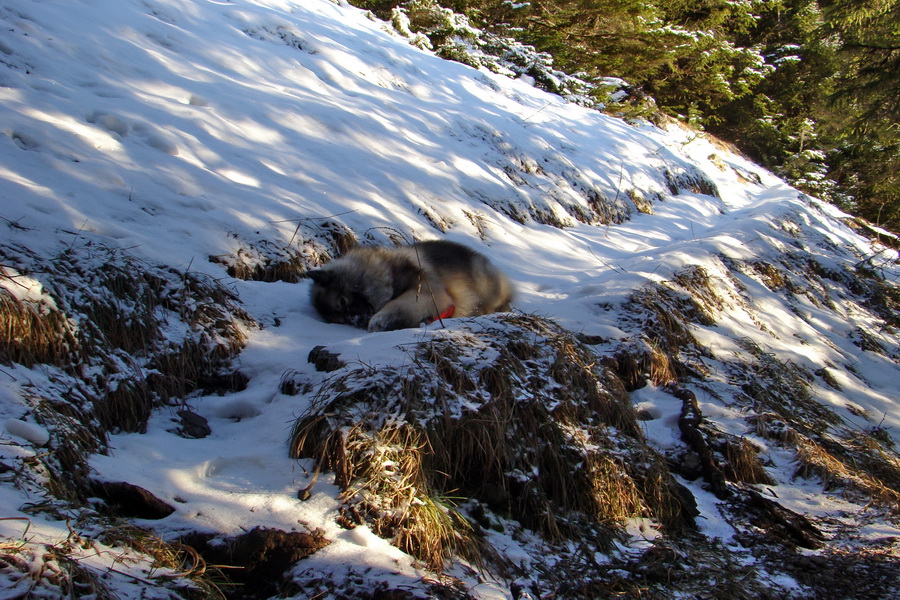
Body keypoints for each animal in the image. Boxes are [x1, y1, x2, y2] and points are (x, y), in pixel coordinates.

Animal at [308, 240, 512, 332]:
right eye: (342, 320)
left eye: (342, 301)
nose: (356, 321)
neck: (389, 271)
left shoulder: (429, 292)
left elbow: (397, 304)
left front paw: (379, 321)